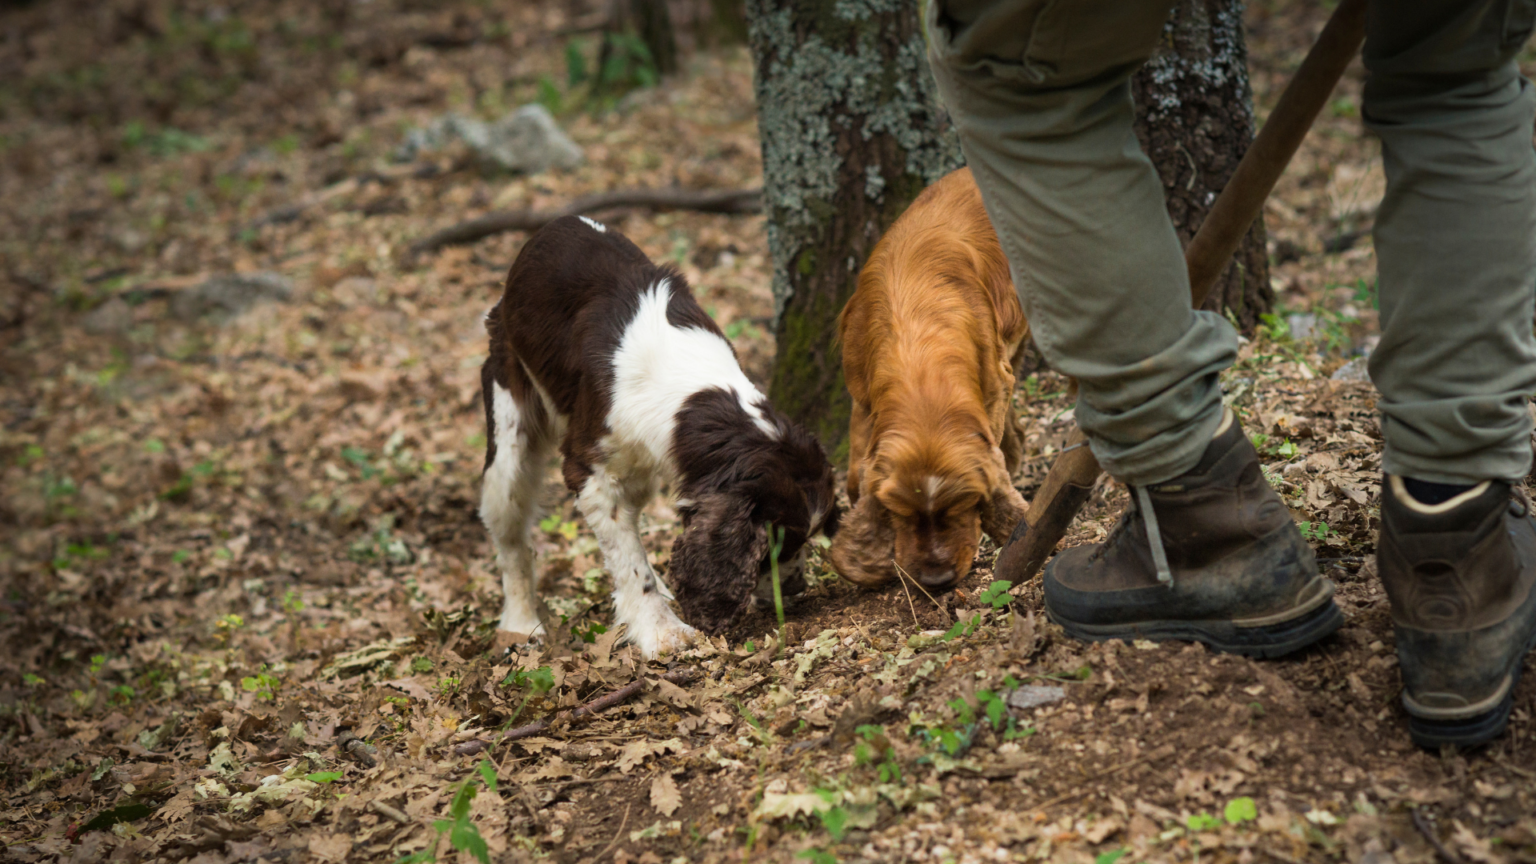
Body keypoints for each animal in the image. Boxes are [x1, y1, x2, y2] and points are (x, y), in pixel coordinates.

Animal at [479, 213, 841, 651]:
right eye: (778, 542)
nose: (795, 590)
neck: (690, 391)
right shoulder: (590, 472)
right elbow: (631, 564)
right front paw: (662, 630)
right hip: (508, 435)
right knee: (511, 536)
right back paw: (519, 623)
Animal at [829, 164, 1032, 587]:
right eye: (900, 512)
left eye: (964, 504)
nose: (937, 580)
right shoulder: (860, 394)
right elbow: (856, 476)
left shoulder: (993, 383)